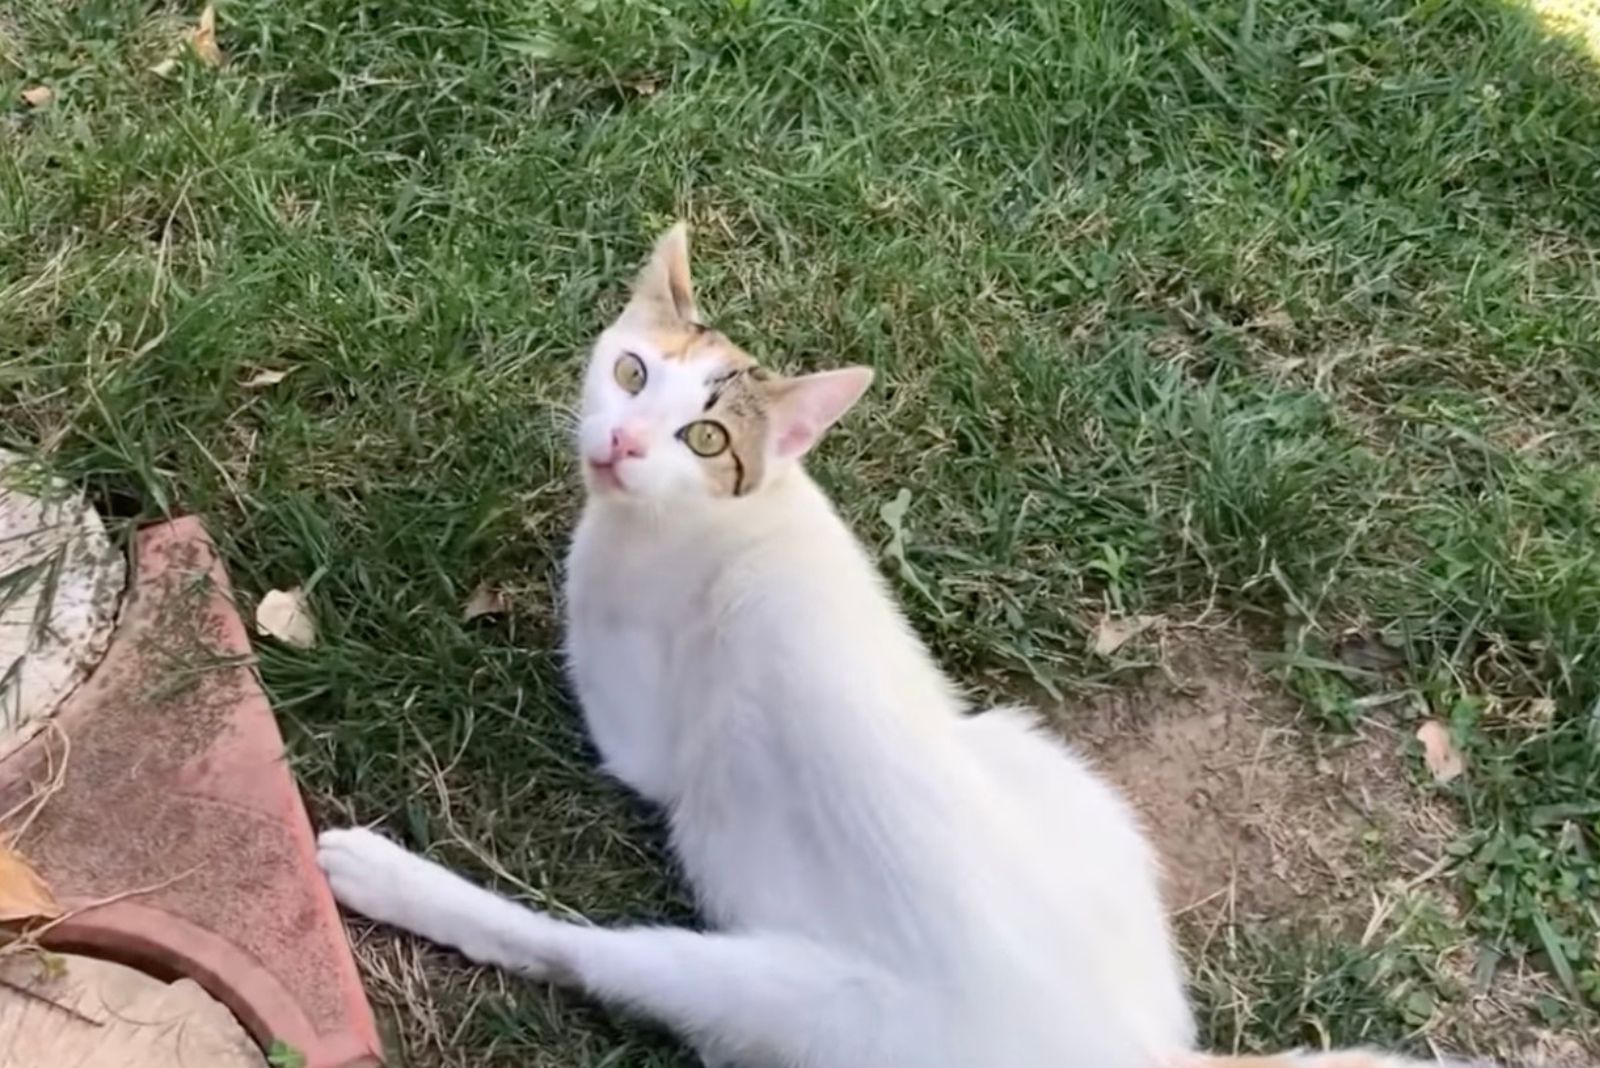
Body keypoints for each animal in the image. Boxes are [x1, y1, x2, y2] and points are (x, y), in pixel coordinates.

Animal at [318, 227, 1478, 1068]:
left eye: (706, 437)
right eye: (633, 370)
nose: (621, 442)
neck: (749, 508)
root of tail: (1142, 1058)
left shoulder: (644, 731)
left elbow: (588, 630)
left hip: (787, 993)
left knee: (579, 950)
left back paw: (387, 875)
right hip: (1033, 754)